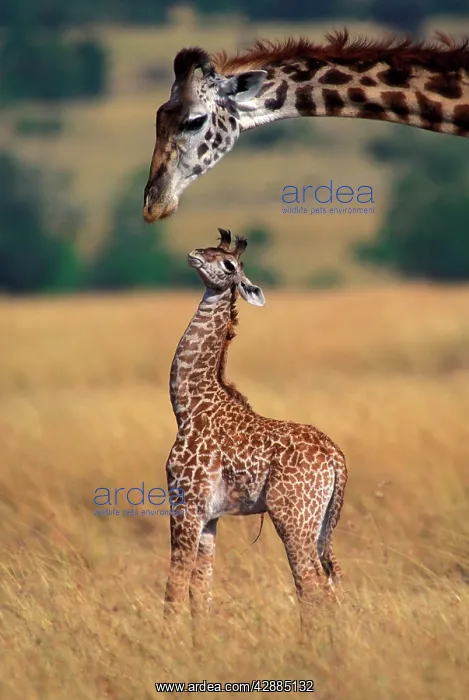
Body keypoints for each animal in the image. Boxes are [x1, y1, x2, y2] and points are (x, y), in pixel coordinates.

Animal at [164, 227, 347, 630]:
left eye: (229, 264)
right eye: (211, 248)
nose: (193, 254)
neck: (188, 405)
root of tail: (336, 458)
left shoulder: (186, 504)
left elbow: (175, 587)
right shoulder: (211, 517)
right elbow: (200, 591)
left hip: (292, 516)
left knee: (312, 586)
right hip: (320, 522)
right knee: (329, 585)